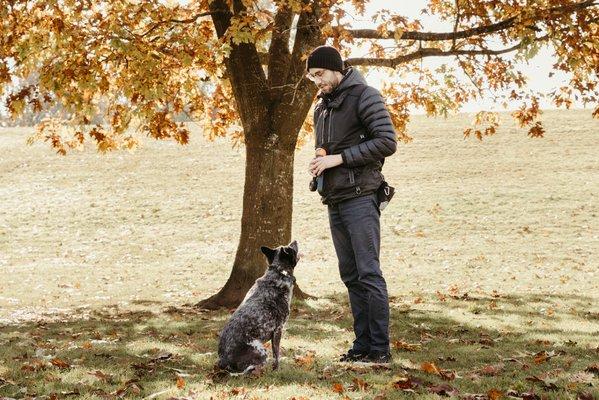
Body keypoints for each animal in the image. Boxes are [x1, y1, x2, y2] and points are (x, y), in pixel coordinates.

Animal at [218, 239, 300, 374]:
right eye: (290, 248)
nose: (295, 240)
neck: (278, 272)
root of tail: (223, 363)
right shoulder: (278, 329)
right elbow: (277, 354)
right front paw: (277, 370)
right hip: (260, 349)